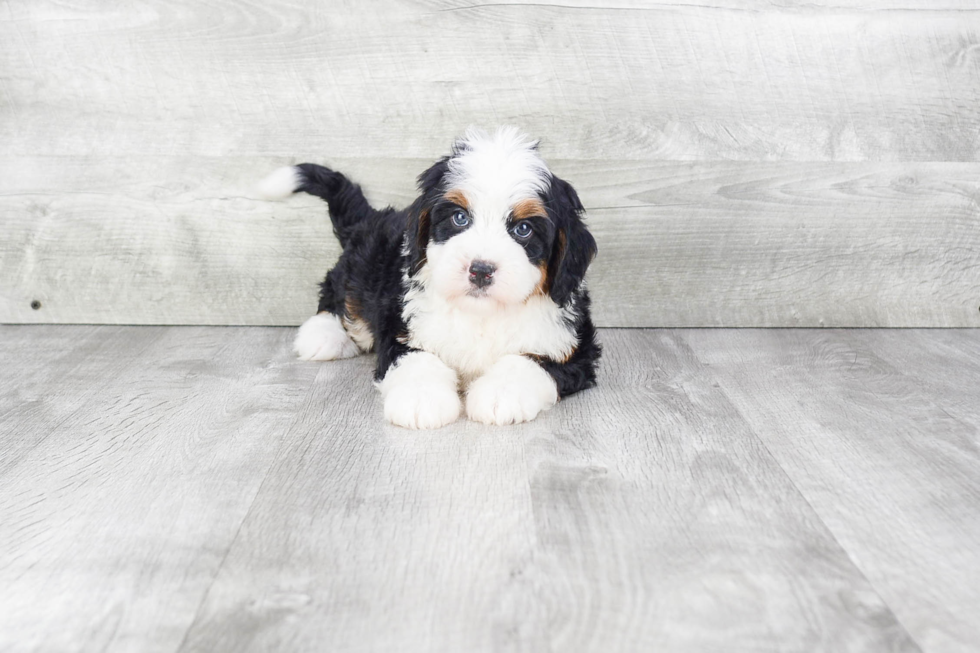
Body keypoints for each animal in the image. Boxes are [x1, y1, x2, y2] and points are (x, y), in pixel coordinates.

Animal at [256, 129, 600, 428]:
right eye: (459, 218)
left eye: (523, 229)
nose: (480, 270)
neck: (481, 314)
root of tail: (372, 219)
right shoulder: (402, 325)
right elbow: (415, 358)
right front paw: (421, 399)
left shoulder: (573, 345)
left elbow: (529, 362)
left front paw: (500, 394)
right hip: (364, 266)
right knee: (338, 290)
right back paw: (323, 334)